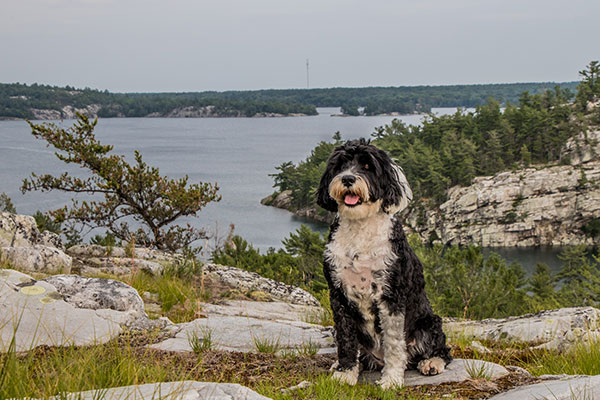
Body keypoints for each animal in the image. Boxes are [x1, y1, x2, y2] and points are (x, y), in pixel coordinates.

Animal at [316, 138, 452, 388]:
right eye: (340, 165)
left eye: (368, 166)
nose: (347, 179)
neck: (360, 229)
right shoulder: (339, 295)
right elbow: (346, 340)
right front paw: (345, 372)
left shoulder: (391, 295)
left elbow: (394, 342)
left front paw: (391, 380)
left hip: (428, 323)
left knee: (440, 349)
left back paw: (431, 362)